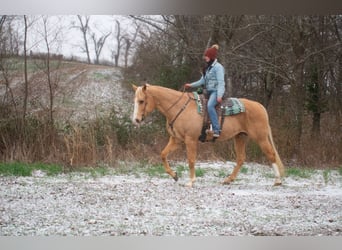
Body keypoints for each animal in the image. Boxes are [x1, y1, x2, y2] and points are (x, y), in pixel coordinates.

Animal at [132, 84, 284, 188]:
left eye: (141, 101)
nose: (136, 120)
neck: (180, 107)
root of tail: (260, 106)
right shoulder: (176, 140)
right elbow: (163, 154)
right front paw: (174, 175)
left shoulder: (190, 140)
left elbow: (191, 160)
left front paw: (191, 182)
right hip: (240, 137)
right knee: (241, 159)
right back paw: (228, 180)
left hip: (260, 137)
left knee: (271, 154)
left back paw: (277, 180)